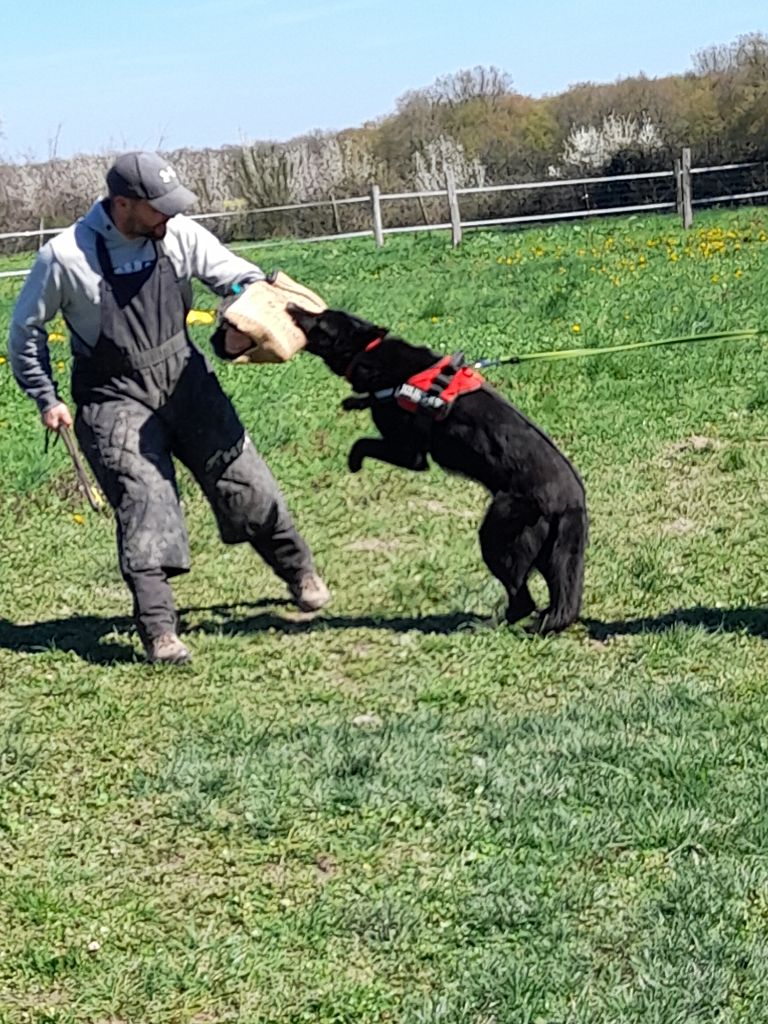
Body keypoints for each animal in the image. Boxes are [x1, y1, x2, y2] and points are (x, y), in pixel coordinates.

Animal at [288, 301, 589, 630]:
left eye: (320, 322)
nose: (290, 305)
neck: (370, 351)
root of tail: (573, 500)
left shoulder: (410, 455)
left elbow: (363, 443)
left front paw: (354, 461)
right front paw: (355, 402)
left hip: (498, 536)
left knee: (522, 599)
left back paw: (484, 626)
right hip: (551, 554)